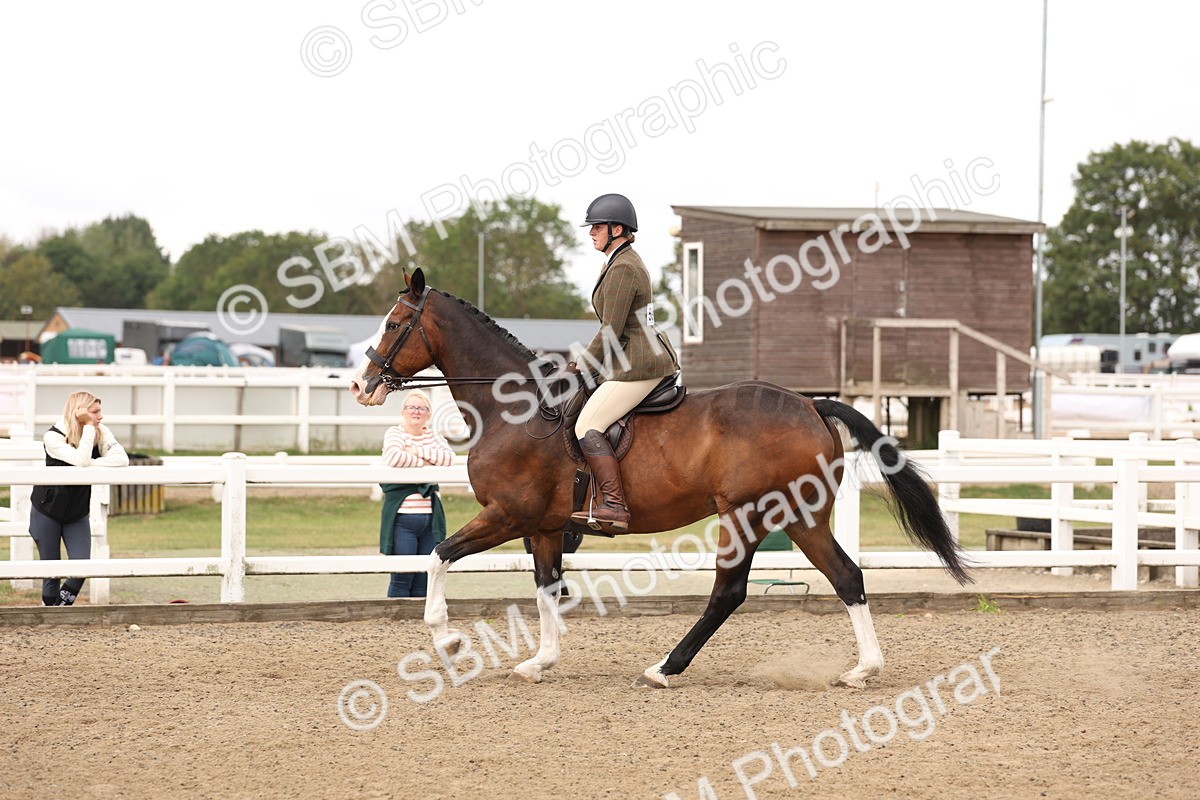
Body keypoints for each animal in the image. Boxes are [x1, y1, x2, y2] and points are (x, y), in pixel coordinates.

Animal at [348, 268, 971, 689]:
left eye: (396, 323)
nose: (362, 386)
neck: (514, 408)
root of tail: (811, 404)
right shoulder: (543, 526)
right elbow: (546, 588)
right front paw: (539, 661)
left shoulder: (508, 514)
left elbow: (438, 556)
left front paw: (448, 638)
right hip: (797, 517)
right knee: (846, 577)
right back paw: (862, 669)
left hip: (750, 514)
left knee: (731, 592)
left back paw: (665, 669)